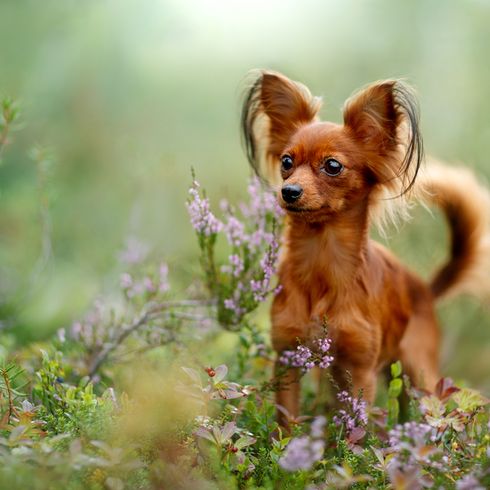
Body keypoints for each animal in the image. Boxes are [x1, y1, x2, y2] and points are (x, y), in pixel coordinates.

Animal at [240, 69, 490, 424]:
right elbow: (285, 421)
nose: (288, 191)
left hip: (419, 374)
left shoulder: (360, 370)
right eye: (287, 161)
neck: (322, 258)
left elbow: (355, 428)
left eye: (332, 166)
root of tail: (425, 290)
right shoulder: (289, 357)